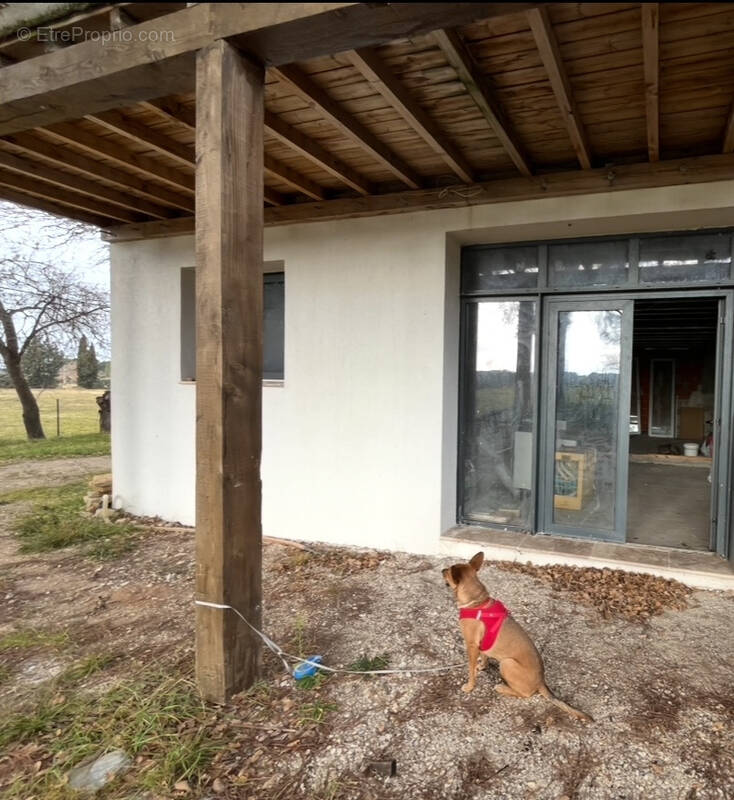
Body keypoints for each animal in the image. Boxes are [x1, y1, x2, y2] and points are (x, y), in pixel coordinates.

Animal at [442, 552, 592, 720]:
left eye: (448, 571)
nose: (442, 570)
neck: (476, 602)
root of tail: (541, 681)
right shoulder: (481, 643)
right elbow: (484, 655)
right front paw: (481, 666)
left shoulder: (471, 645)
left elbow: (471, 670)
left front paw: (469, 686)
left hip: (507, 663)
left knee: (525, 694)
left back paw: (501, 687)